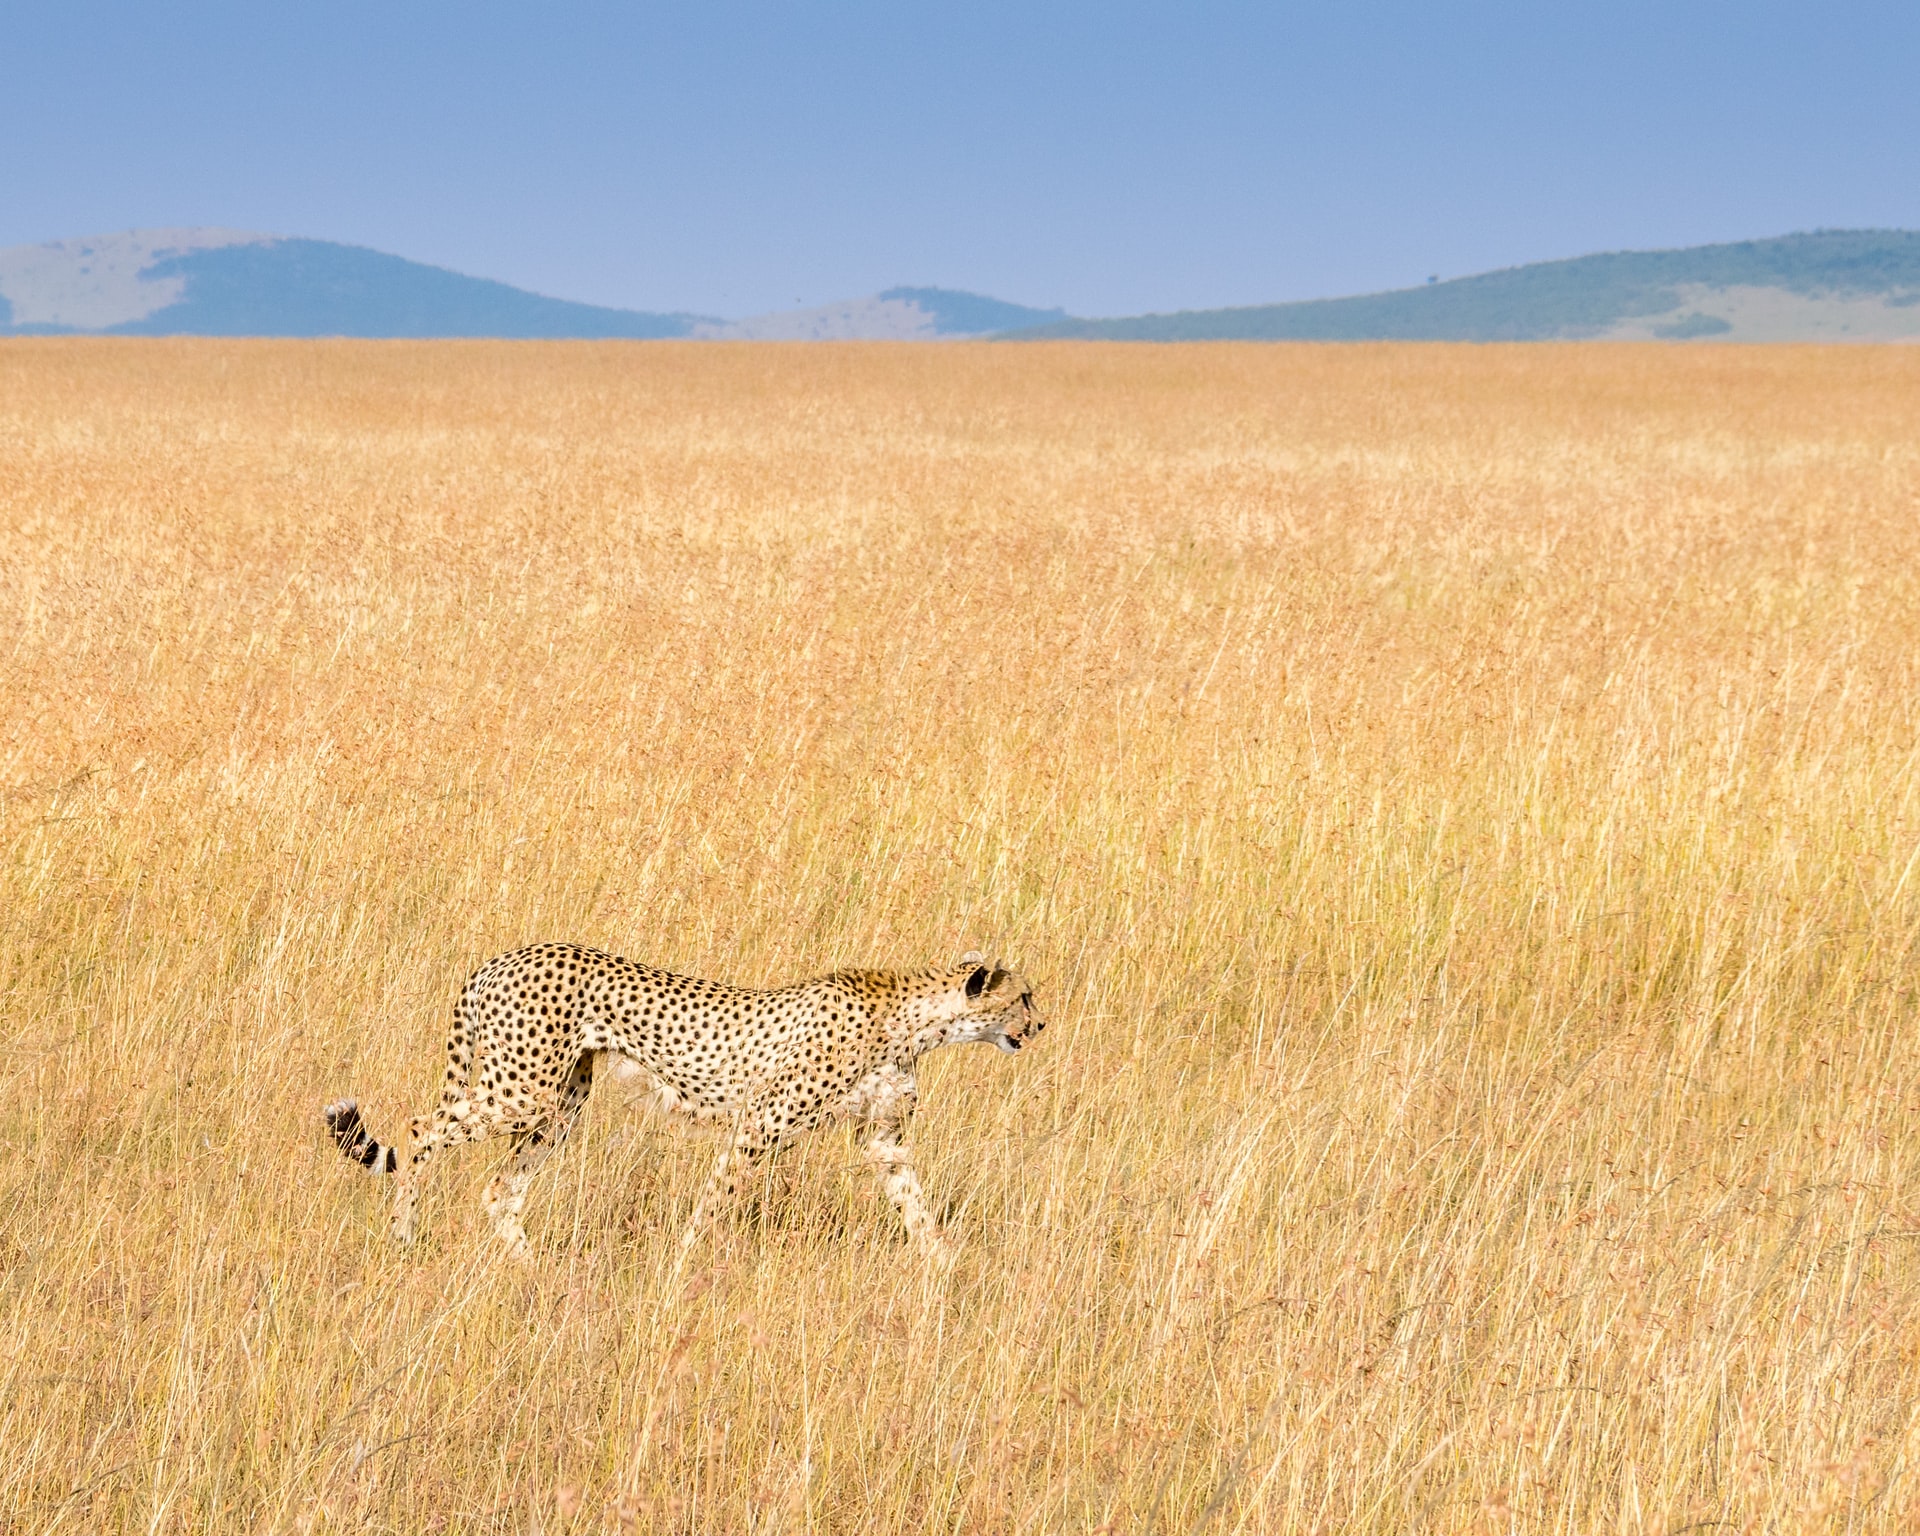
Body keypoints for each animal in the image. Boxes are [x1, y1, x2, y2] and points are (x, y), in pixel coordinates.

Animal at [321, 943, 1043, 1264]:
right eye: (1024, 998)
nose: (1040, 1026)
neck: (914, 1018)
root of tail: (502, 958)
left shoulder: (883, 1140)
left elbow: (917, 1207)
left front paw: (945, 1271)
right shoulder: (760, 1126)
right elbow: (715, 1204)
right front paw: (685, 1264)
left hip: (560, 1103)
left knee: (500, 1187)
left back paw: (531, 1270)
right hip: (520, 1091)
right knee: (420, 1128)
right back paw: (404, 1235)